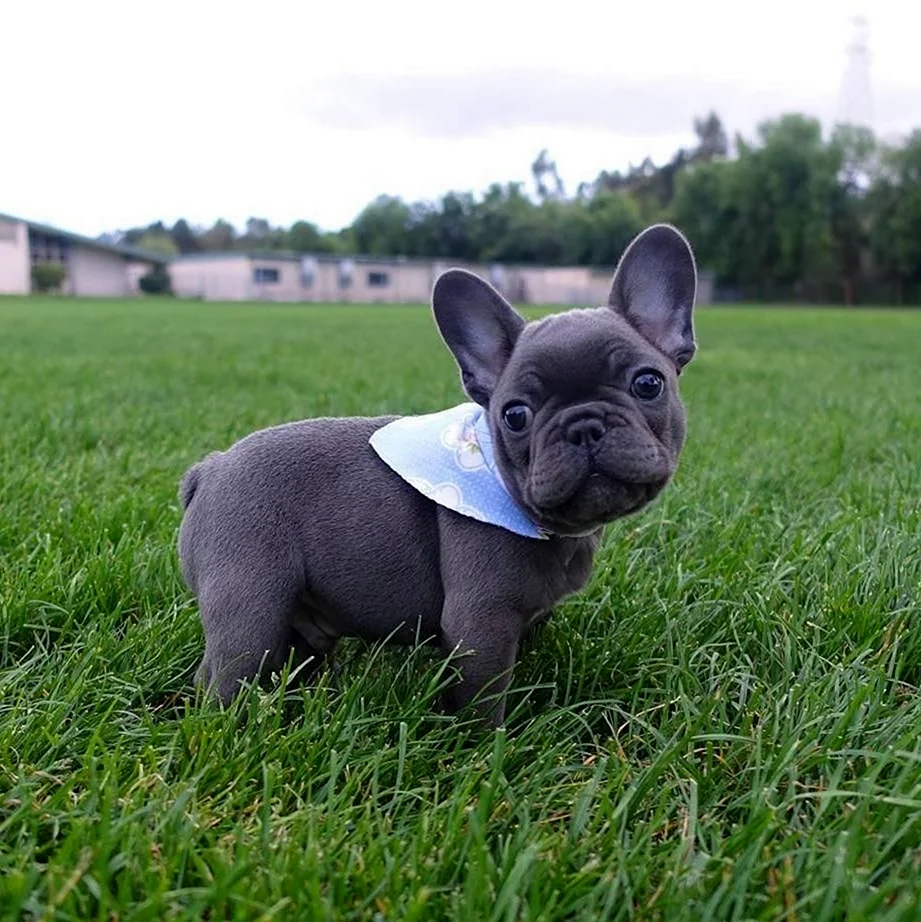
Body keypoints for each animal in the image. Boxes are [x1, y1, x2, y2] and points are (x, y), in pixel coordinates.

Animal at [178, 225, 696, 724]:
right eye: (515, 415)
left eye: (648, 383)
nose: (584, 425)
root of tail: (210, 469)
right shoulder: (481, 623)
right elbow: (483, 696)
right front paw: (485, 744)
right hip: (250, 603)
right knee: (226, 675)